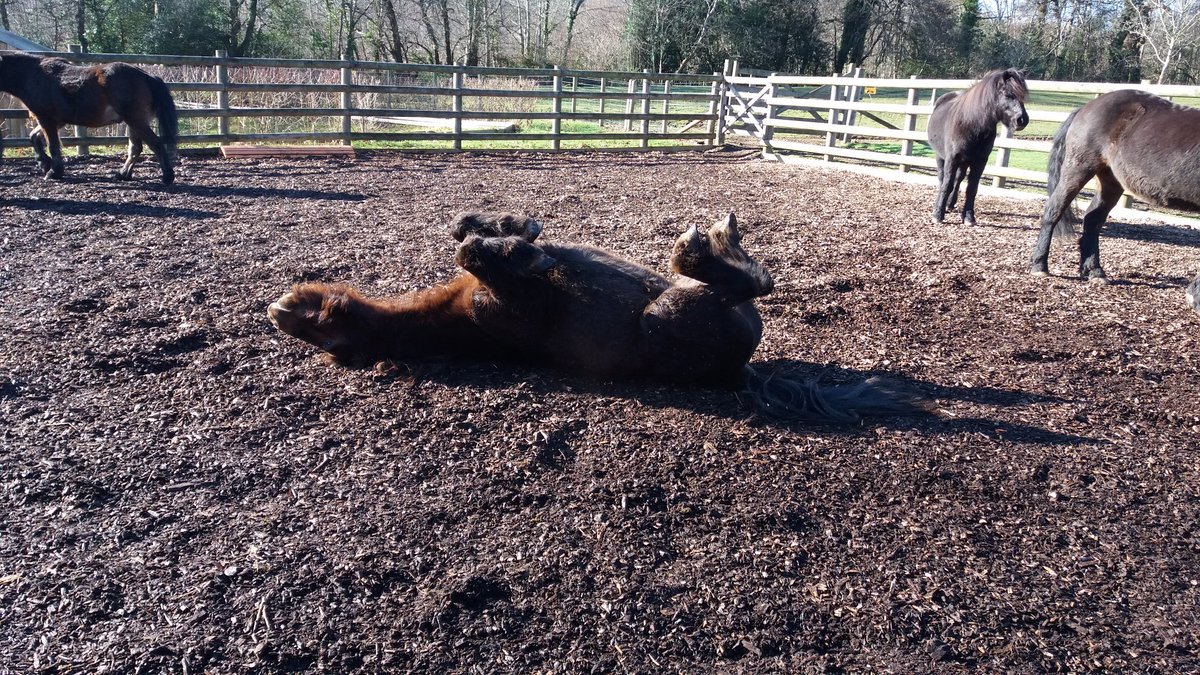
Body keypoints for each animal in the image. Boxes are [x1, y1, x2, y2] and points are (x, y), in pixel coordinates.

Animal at [0, 51, 178, 184]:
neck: (33, 75)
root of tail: (147, 76)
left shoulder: (46, 118)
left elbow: (52, 145)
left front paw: (53, 171)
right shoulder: (57, 121)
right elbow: (33, 137)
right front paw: (44, 163)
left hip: (136, 120)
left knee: (155, 144)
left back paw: (167, 176)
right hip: (134, 122)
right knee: (135, 148)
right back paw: (122, 174)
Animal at [267, 212, 933, 423]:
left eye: (308, 311)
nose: (281, 309)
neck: (455, 319)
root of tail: (742, 373)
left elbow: (468, 236)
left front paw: (510, 229)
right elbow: (477, 254)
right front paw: (518, 249)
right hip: (671, 313)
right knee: (748, 283)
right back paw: (704, 245)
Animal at [927, 69, 1029, 226]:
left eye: (1022, 95)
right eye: (1007, 94)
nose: (1022, 120)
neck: (972, 125)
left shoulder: (980, 161)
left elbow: (972, 188)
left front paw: (969, 217)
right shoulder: (952, 159)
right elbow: (946, 184)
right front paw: (938, 214)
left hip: (964, 162)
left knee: (958, 180)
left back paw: (950, 204)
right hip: (940, 157)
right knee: (942, 179)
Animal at [1031, 91, 1200, 302]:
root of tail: (1087, 106)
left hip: (1111, 181)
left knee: (1092, 220)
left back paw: (1095, 271)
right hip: (1078, 169)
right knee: (1054, 210)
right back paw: (1039, 265)